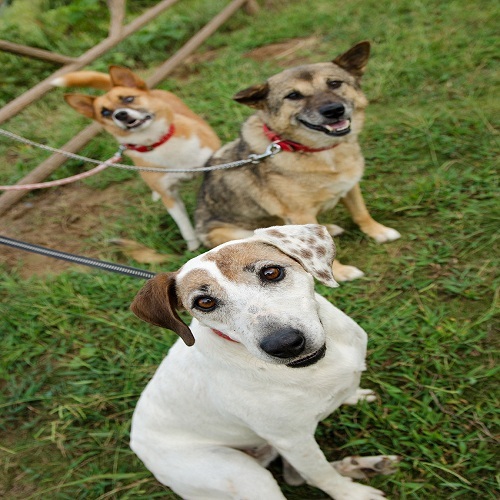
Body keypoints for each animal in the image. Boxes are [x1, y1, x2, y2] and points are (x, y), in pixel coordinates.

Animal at [51, 66, 221, 252]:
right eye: (105, 112)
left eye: (129, 98)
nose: (120, 115)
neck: (156, 142)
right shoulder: (169, 196)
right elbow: (184, 225)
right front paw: (194, 248)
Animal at [129, 225, 398, 498]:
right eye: (204, 302)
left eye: (271, 272)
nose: (284, 343)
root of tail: (137, 446)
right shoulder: (293, 440)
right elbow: (320, 475)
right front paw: (351, 494)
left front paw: (354, 395)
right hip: (247, 478)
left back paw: (364, 465)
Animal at [193, 41, 400, 282]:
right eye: (293, 95)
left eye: (334, 83)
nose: (333, 111)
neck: (317, 151)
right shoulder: (299, 213)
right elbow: (312, 254)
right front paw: (340, 272)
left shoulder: (350, 188)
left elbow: (361, 213)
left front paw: (378, 231)